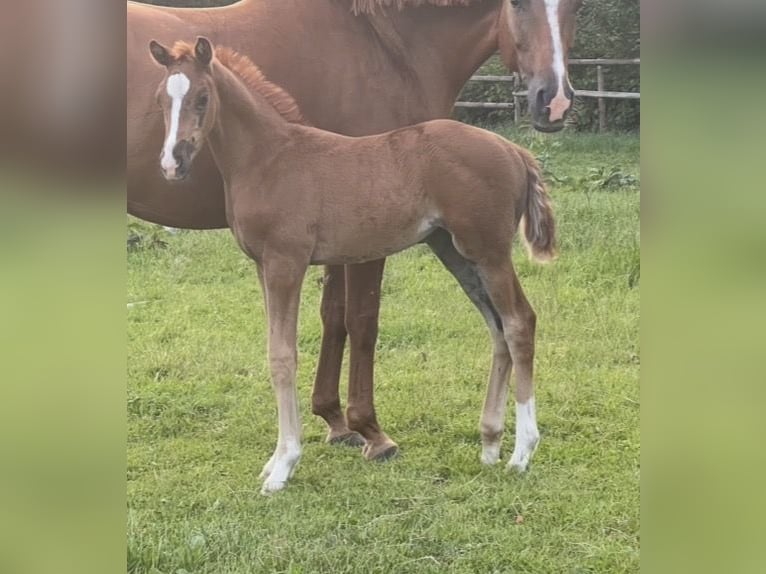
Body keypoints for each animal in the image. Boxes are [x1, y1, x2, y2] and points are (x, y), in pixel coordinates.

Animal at [128, 0, 581, 460]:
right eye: (161, 100)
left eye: (574, 7)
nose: (554, 102)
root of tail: (515, 151)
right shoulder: (293, 258)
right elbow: (332, 324)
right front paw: (347, 427)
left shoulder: (312, 255)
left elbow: (346, 321)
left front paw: (355, 430)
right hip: (462, 249)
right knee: (503, 324)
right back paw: (495, 443)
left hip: (480, 250)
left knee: (515, 321)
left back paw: (516, 448)